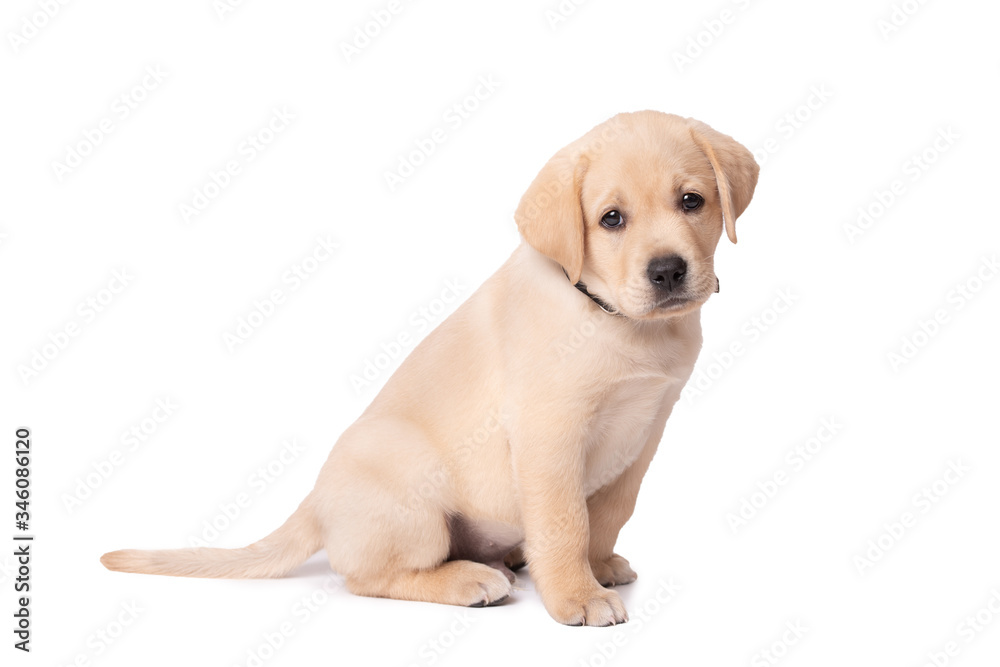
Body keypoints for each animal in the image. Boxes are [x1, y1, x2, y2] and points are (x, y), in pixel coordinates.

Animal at [101, 109, 756, 628]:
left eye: (692, 201)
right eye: (611, 219)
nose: (667, 270)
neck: (615, 318)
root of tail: (315, 501)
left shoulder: (646, 429)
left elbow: (611, 513)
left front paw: (597, 567)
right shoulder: (549, 434)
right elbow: (566, 520)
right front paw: (576, 595)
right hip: (414, 486)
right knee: (365, 576)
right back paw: (471, 579)